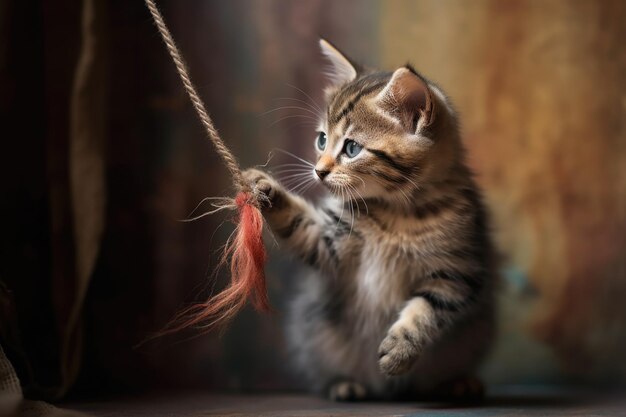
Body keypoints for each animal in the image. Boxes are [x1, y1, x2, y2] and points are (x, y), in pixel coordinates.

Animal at [241, 39, 494, 400]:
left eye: (351, 149)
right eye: (321, 140)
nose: (318, 171)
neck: (397, 212)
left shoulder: (458, 269)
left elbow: (429, 309)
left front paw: (401, 349)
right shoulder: (328, 243)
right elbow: (300, 225)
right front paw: (265, 189)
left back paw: (456, 382)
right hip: (313, 332)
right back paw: (344, 383)